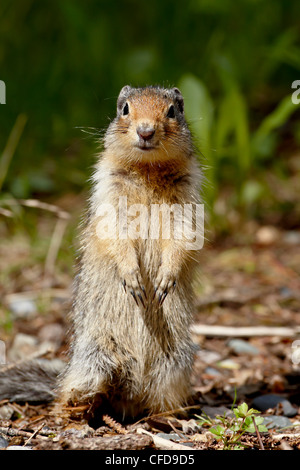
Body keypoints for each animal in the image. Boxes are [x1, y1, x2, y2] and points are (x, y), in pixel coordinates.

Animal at [0, 85, 204, 422]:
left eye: (173, 111)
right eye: (125, 109)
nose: (145, 131)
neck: (147, 169)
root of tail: (129, 395)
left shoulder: (187, 202)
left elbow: (182, 237)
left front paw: (165, 278)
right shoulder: (109, 194)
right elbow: (115, 235)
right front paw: (132, 277)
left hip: (174, 365)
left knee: (160, 402)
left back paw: (173, 419)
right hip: (92, 361)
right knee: (67, 396)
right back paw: (77, 413)